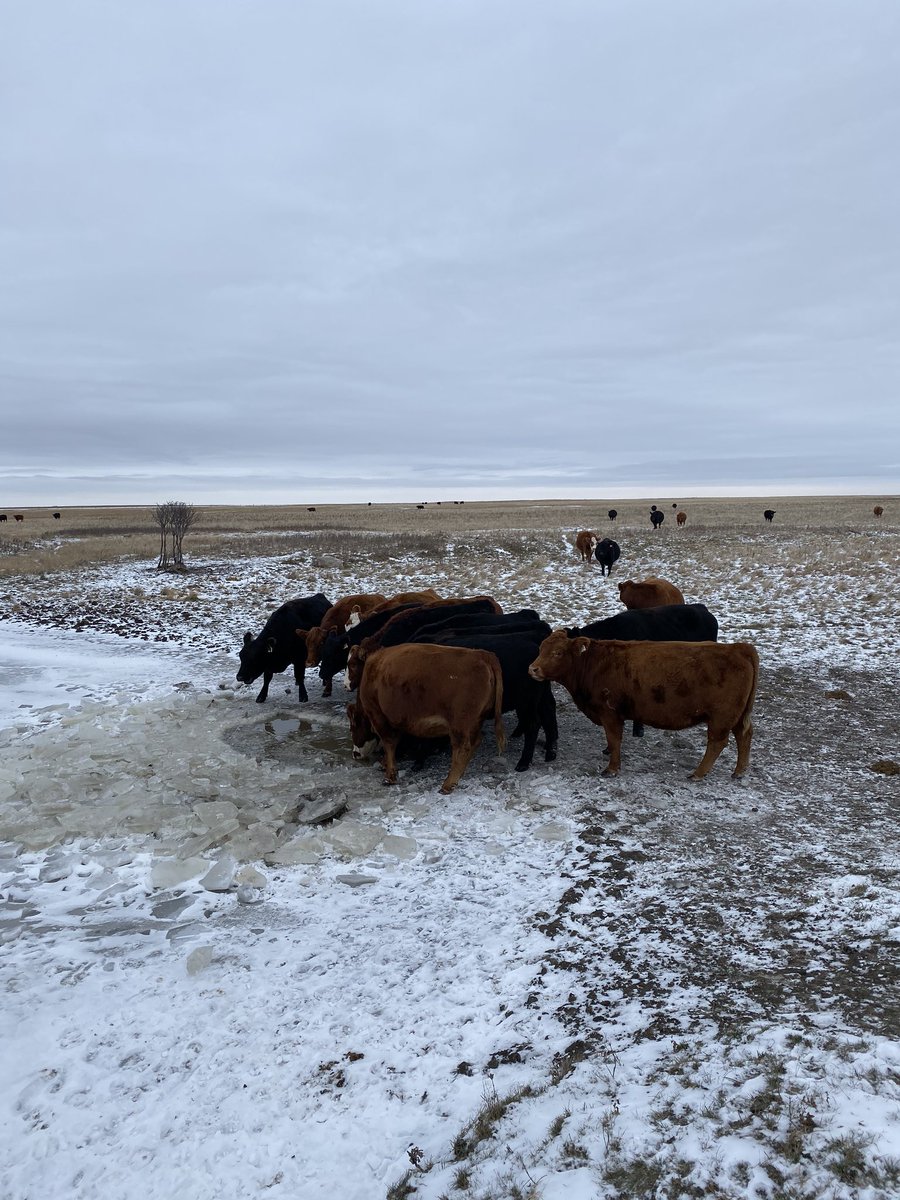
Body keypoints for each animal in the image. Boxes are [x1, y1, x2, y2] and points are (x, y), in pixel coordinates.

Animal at [347, 644, 505, 793]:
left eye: (353, 726)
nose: (355, 754)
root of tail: (482, 654)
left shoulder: (378, 716)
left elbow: (389, 744)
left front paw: (389, 776)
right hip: (473, 723)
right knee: (474, 742)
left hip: (459, 725)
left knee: (462, 747)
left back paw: (447, 784)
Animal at [529, 631, 758, 780]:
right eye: (540, 648)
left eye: (558, 652)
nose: (533, 669)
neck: (593, 663)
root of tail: (738, 647)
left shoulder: (610, 714)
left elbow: (614, 740)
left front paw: (612, 769)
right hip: (736, 716)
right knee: (744, 735)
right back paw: (739, 771)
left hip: (721, 717)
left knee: (717, 742)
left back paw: (698, 773)